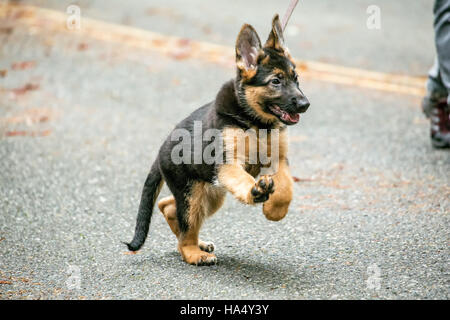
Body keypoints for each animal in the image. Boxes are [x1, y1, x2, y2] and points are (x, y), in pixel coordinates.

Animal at [125, 15, 310, 264]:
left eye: (296, 79)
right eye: (276, 81)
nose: (305, 104)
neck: (255, 122)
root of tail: (160, 151)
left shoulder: (278, 159)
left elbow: (286, 188)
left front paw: (275, 211)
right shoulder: (227, 164)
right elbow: (243, 179)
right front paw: (256, 191)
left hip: (210, 194)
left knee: (169, 208)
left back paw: (198, 243)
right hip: (193, 193)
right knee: (185, 226)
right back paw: (195, 253)